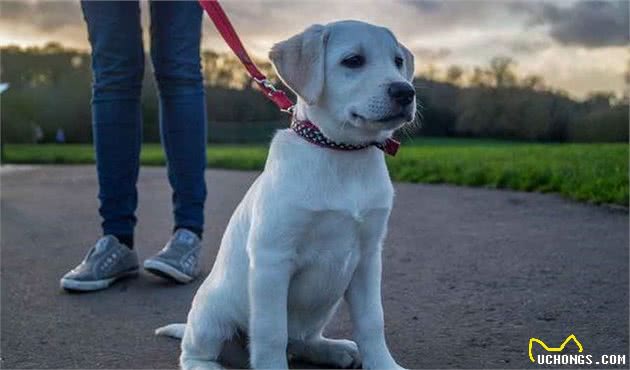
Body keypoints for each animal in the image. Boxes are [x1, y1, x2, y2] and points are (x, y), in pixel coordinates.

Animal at [156, 21, 418, 370]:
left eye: (398, 62)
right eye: (353, 61)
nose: (405, 92)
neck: (341, 153)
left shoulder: (368, 257)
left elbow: (372, 321)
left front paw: (383, 364)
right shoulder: (272, 259)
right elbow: (271, 333)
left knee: (301, 342)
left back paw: (335, 350)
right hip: (212, 315)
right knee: (195, 352)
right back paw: (208, 365)